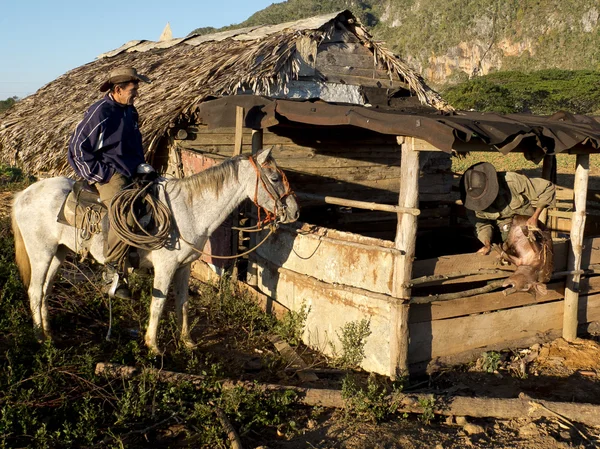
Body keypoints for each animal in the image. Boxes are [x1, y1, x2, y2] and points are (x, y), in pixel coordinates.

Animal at [11, 149, 298, 352]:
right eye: (274, 178)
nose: (295, 212)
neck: (188, 211)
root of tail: (22, 195)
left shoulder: (184, 267)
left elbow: (183, 303)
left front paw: (187, 341)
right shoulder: (165, 268)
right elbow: (158, 304)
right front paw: (153, 346)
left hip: (58, 253)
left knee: (45, 290)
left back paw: (49, 333)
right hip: (41, 253)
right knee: (35, 290)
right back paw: (38, 337)